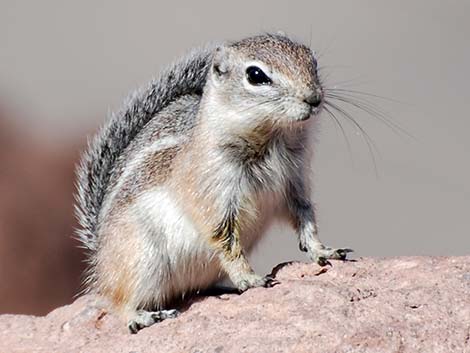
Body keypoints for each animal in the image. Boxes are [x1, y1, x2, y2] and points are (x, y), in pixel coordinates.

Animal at [74, 33, 352, 332]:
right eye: (256, 75)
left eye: (312, 62)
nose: (314, 98)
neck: (271, 138)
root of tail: (99, 256)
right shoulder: (213, 194)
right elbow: (225, 241)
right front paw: (249, 279)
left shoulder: (295, 183)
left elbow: (305, 218)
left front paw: (323, 251)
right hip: (140, 259)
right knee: (118, 301)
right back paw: (142, 316)